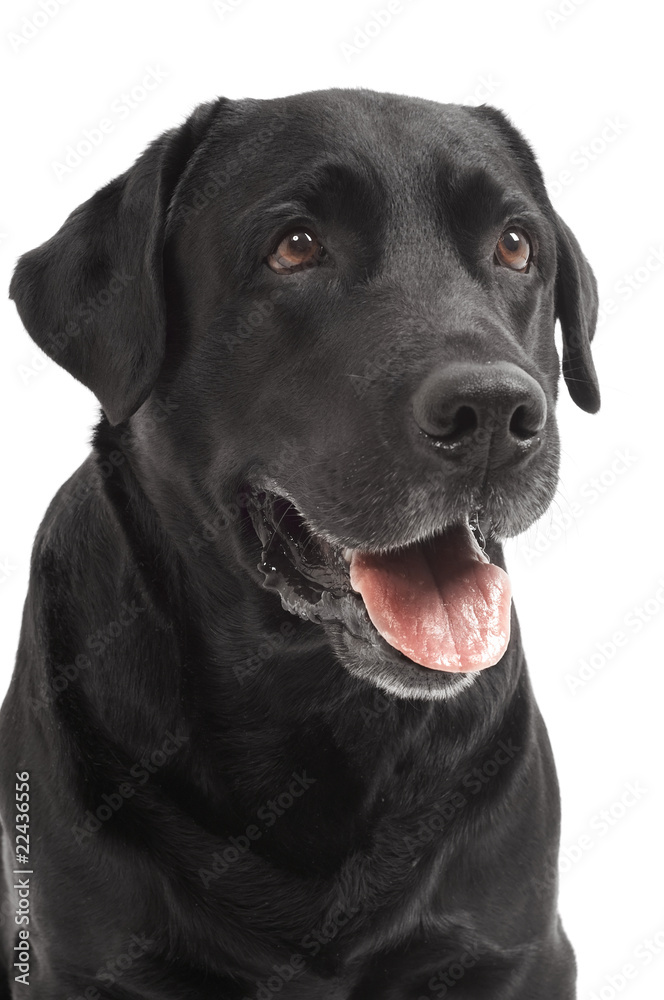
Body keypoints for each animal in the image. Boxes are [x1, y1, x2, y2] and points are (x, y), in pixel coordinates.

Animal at [0, 90, 600, 996]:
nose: (495, 413)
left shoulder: (516, 948)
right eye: (295, 246)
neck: (310, 705)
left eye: (516, 244)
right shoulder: (77, 959)